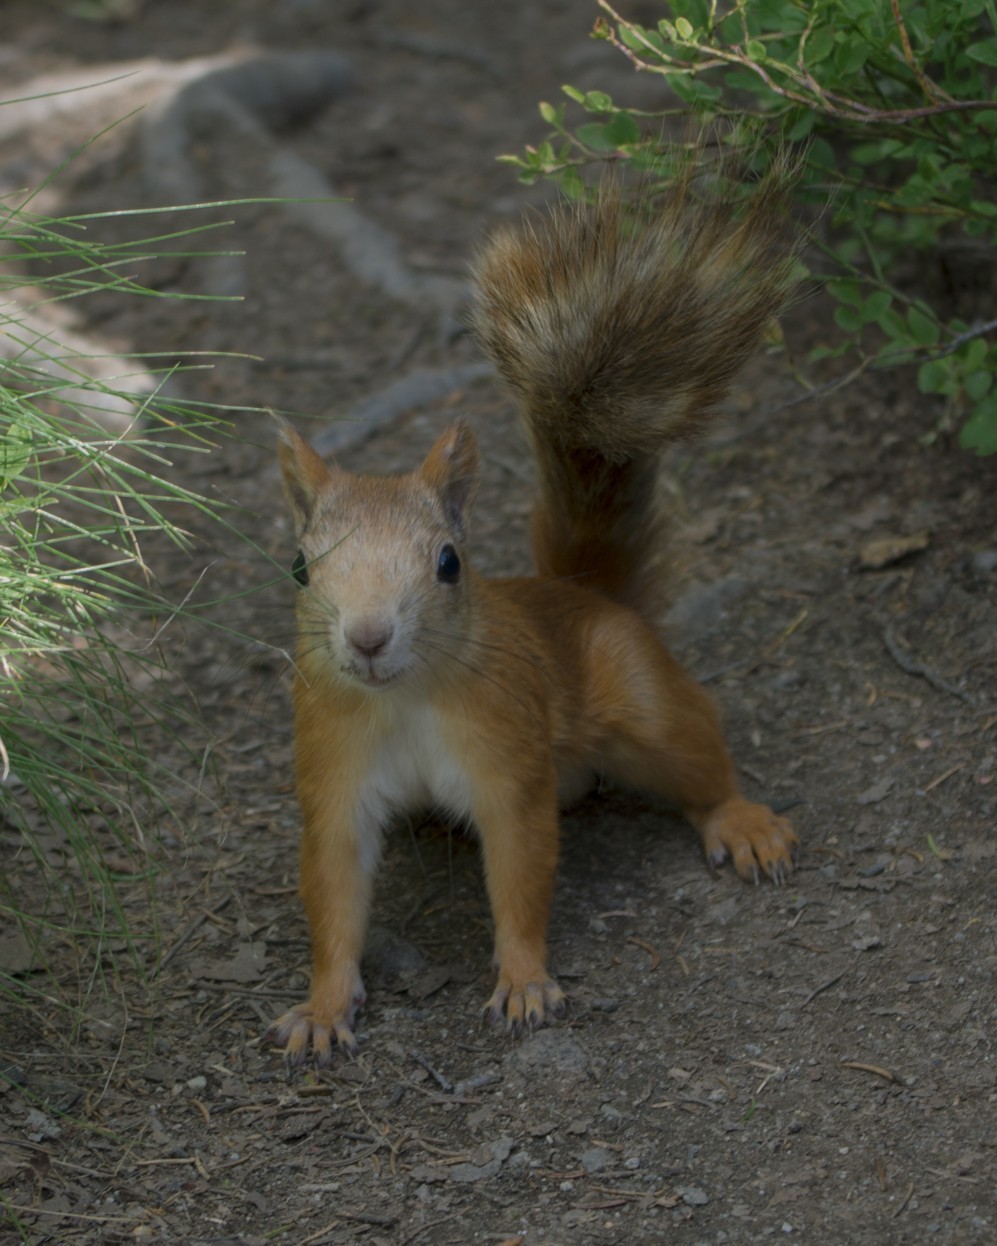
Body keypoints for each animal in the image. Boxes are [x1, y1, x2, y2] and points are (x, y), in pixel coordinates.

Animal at [269, 168, 797, 1061]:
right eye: (301, 567)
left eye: (449, 562)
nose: (368, 639)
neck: (404, 699)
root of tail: (581, 592)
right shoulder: (333, 772)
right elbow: (333, 893)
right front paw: (323, 1005)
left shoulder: (507, 761)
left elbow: (520, 873)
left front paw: (521, 980)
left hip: (641, 703)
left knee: (697, 752)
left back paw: (739, 820)